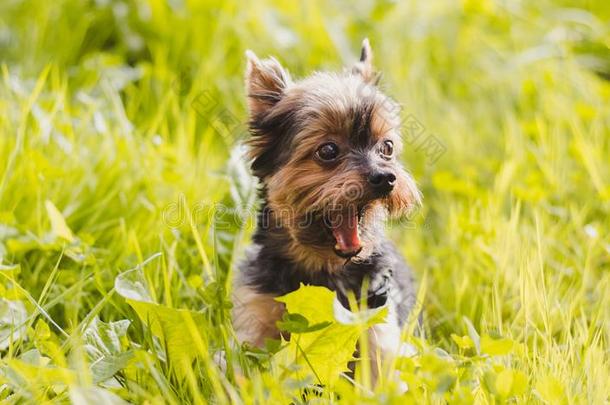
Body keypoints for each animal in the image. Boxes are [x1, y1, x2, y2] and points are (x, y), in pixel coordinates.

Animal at [230, 38, 420, 370]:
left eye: (387, 147)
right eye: (328, 150)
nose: (386, 177)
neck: (324, 270)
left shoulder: (376, 318)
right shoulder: (256, 310)